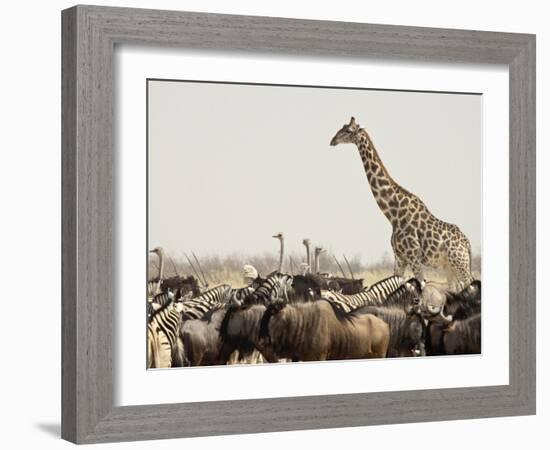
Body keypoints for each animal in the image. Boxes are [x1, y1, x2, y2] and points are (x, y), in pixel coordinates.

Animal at [330, 118, 476, 290]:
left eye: (348, 131)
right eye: (342, 128)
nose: (332, 140)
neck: (393, 214)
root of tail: (467, 244)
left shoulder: (414, 257)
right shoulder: (399, 258)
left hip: (460, 264)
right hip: (449, 267)